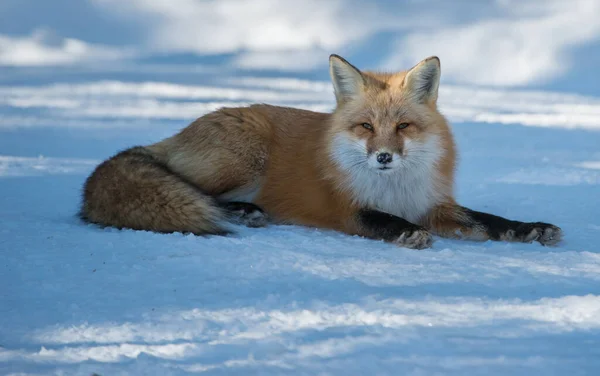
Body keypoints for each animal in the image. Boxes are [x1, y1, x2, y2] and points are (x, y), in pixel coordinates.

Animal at [79, 55, 564, 250]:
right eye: (366, 127)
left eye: (403, 127)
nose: (383, 157)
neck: (394, 188)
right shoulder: (350, 209)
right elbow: (384, 221)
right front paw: (407, 234)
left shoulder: (432, 204)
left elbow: (489, 220)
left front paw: (530, 229)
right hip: (244, 159)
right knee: (191, 189)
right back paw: (243, 211)